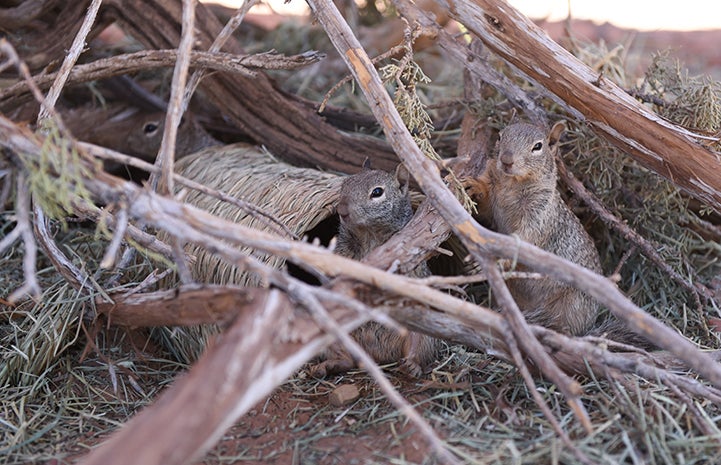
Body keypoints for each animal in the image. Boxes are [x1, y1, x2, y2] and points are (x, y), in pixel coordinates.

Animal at [310, 164, 438, 376]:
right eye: (345, 184)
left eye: (377, 192)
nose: (341, 210)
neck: (369, 234)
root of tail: (376, 356)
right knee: (347, 359)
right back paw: (330, 365)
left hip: (425, 330)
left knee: (417, 349)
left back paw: (411, 365)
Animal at [464, 121, 600, 336]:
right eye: (500, 137)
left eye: (538, 146)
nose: (506, 160)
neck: (512, 183)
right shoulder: (494, 199)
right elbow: (485, 207)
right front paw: (473, 185)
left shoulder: (539, 215)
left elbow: (523, 239)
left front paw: (495, 257)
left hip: (573, 304)